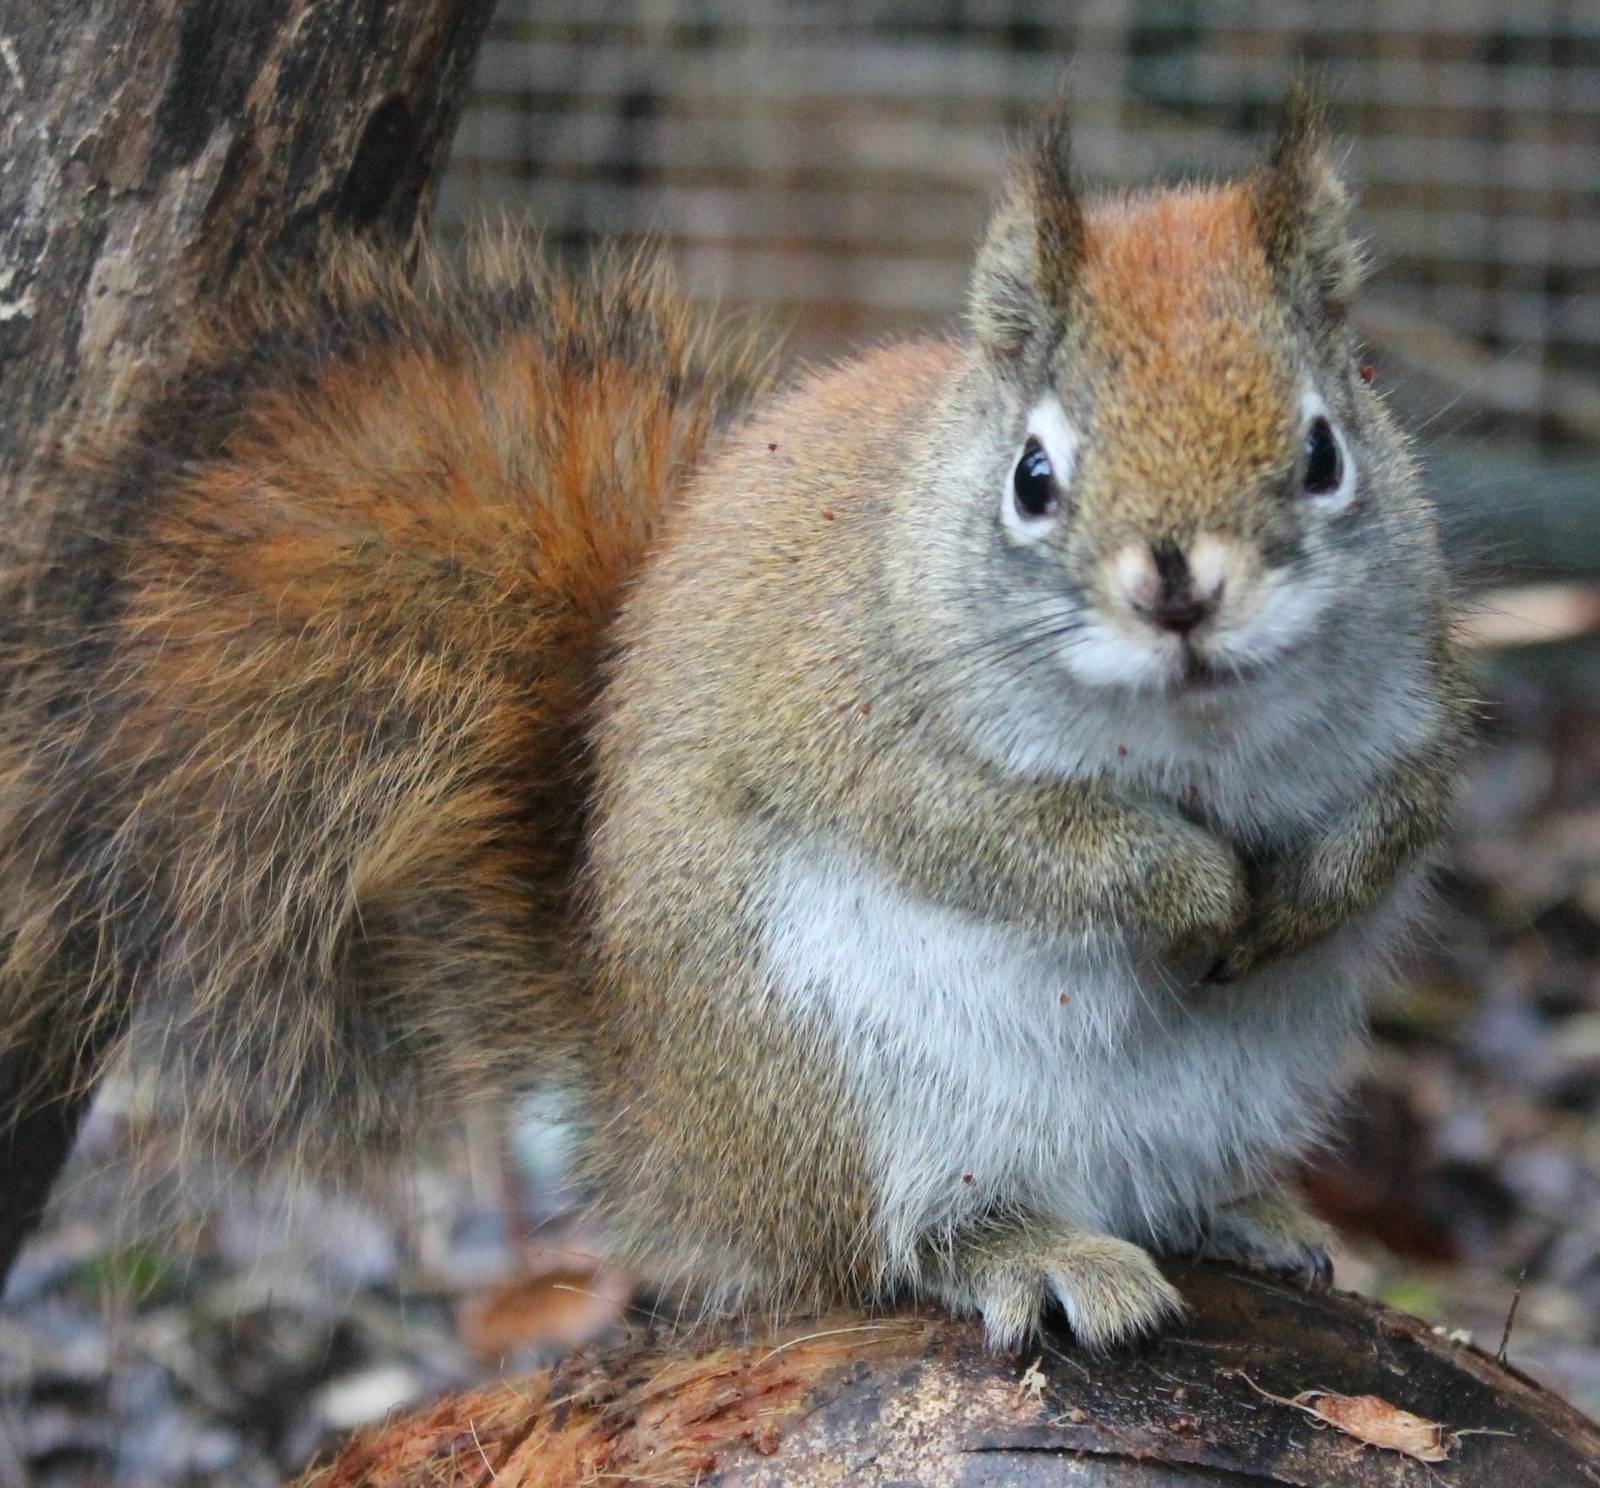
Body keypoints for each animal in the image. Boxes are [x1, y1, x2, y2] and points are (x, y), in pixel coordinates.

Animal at [0, 86, 1469, 1351]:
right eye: (1033, 477)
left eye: (1327, 449)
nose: (1180, 590)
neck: (1191, 731)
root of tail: (666, 1137)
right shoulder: (873, 730)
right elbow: (1013, 844)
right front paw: (1192, 886)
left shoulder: (1422, 690)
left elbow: (1407, 807)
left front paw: (1308, 891)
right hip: (839, 1079)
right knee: (884, 1245)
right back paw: (1032, 1253)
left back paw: (1243, 1211)